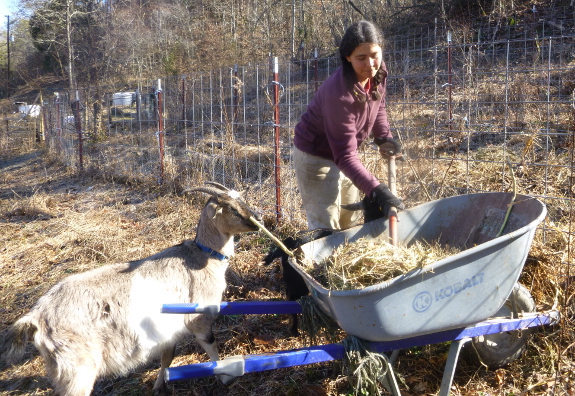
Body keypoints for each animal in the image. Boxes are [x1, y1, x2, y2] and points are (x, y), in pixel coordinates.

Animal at [1, 184, 262, 396]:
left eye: (242, 199)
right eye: (231, 208)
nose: (258, 218)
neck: (201, 256)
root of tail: (36, 317)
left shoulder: (168, 330)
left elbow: (167, 357)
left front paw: (159, 386)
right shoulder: (199, 318)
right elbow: (210, 345)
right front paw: (225, 377)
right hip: (77, 367)